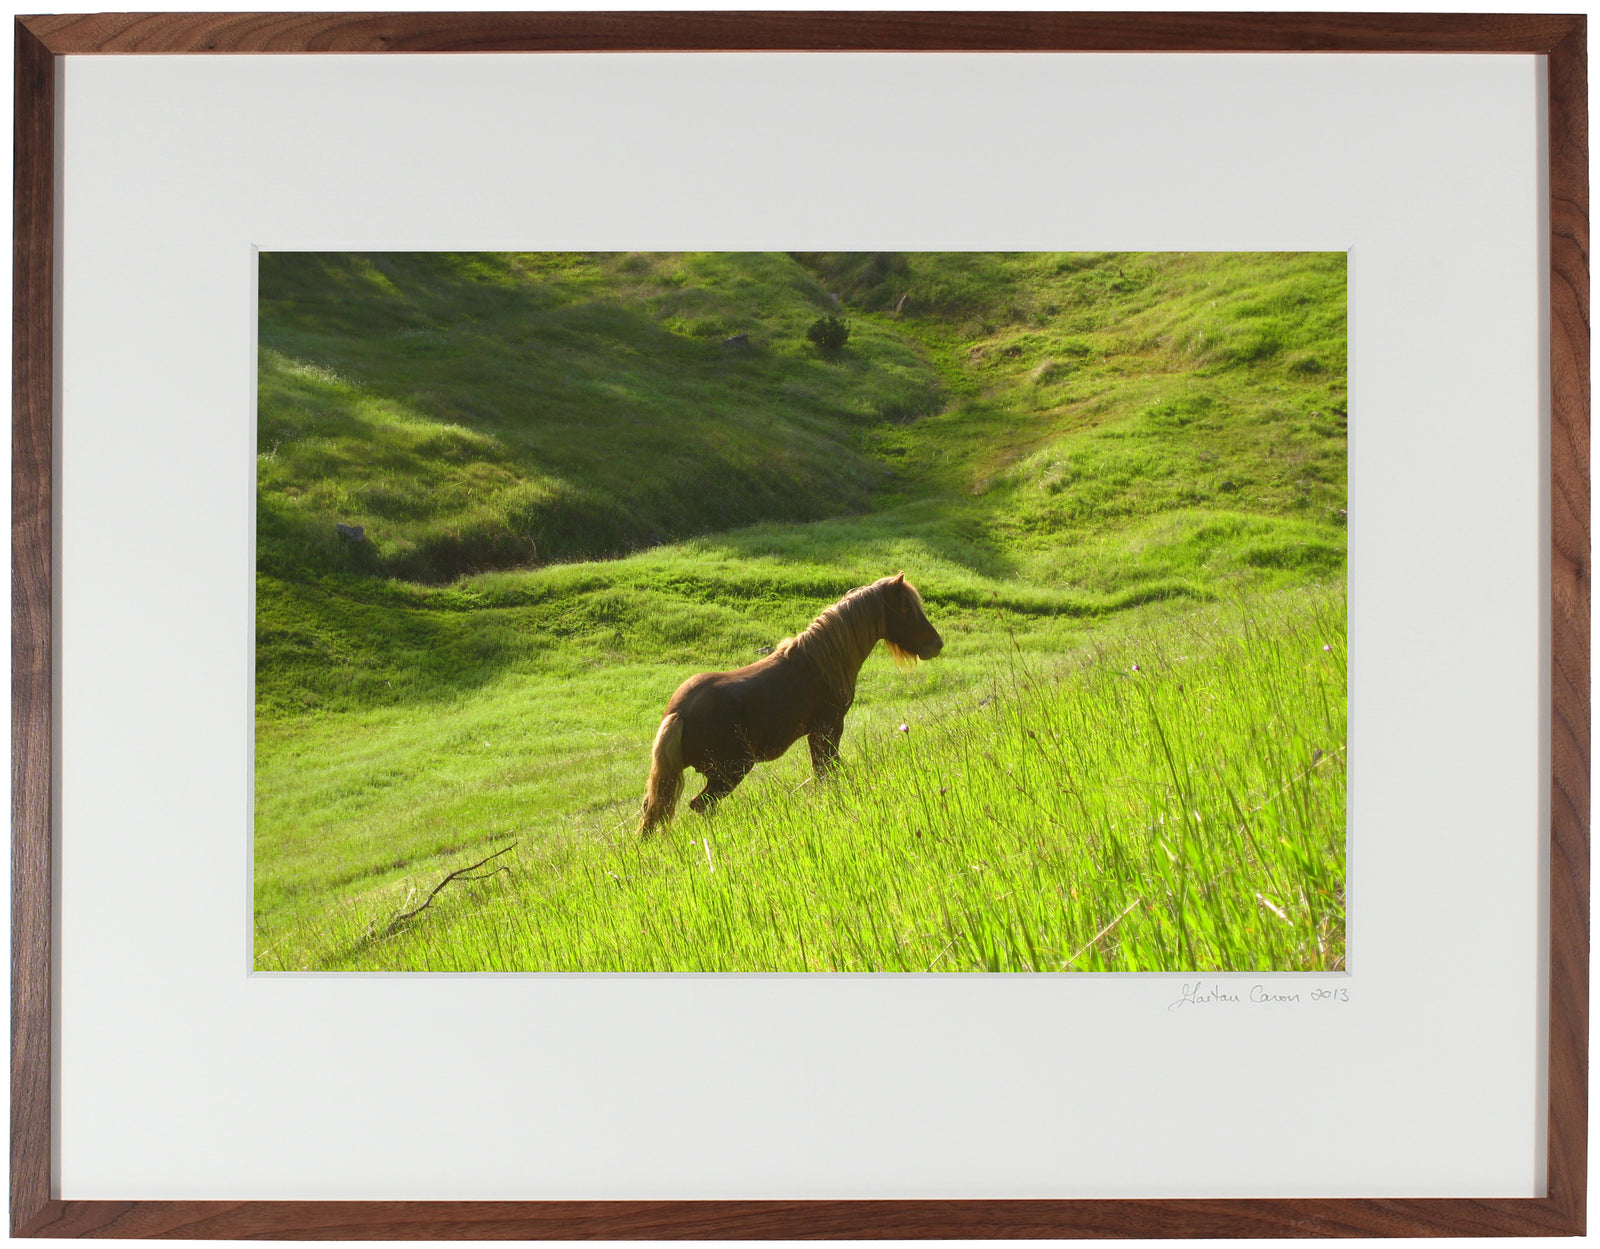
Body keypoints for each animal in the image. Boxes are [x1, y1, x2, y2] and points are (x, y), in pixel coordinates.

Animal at [637, 573, 943, 835]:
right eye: (906, 609)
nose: (936, 645)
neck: (821, 662)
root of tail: (678, 714)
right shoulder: (828, 727)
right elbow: (827, 772)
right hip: (730, 771)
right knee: (700, 805)